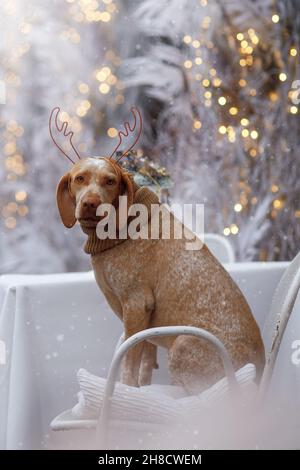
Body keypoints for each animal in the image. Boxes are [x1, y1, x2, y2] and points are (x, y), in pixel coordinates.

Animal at [56, 156, 264, 392]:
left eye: (110, 181)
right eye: (79, 178)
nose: (91, 203)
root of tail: (257, 373)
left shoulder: (137, 305)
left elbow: (129, 366)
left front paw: (126, 391)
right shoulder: (145, 323)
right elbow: (145, 366)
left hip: (183, 344)